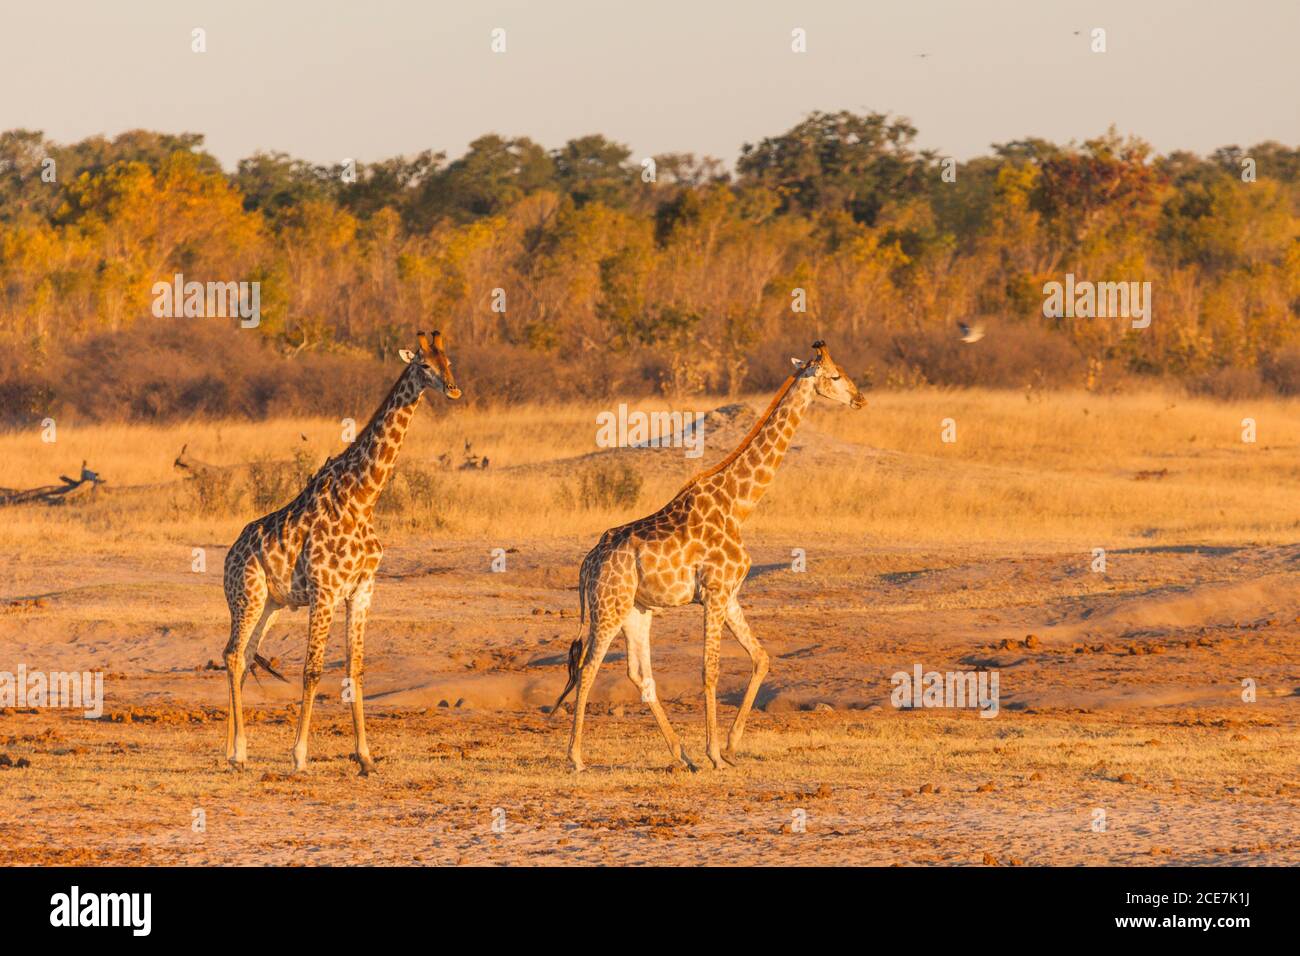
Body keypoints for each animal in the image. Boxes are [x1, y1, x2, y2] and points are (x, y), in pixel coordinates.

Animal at [223, 332, 462, 775]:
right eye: (424, 364)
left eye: (448, 361)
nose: (454, 388)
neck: (363, 498)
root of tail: (230, 554)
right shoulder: (325, 591)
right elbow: (313, 670)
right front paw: (299, 756)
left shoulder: (362, 590)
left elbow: (356, 670)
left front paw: (365, 757)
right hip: (245, 595)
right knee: (231, 655)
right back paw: (239, 752)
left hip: (270, 604)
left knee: (243, 656)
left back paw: (231, 750)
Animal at [548, 340, 863, 775]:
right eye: (834, 376)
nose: (860, 399)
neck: (738, 505)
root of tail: (586, 565)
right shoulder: (714, 592)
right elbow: (709, 670)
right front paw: (715, 752)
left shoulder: (730, 594)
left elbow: (761, 657)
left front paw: (729, 747)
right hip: (608, 607)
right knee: (589, 666)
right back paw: (577, 757)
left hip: (636, 610)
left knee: (638, 673)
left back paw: (682, 755)